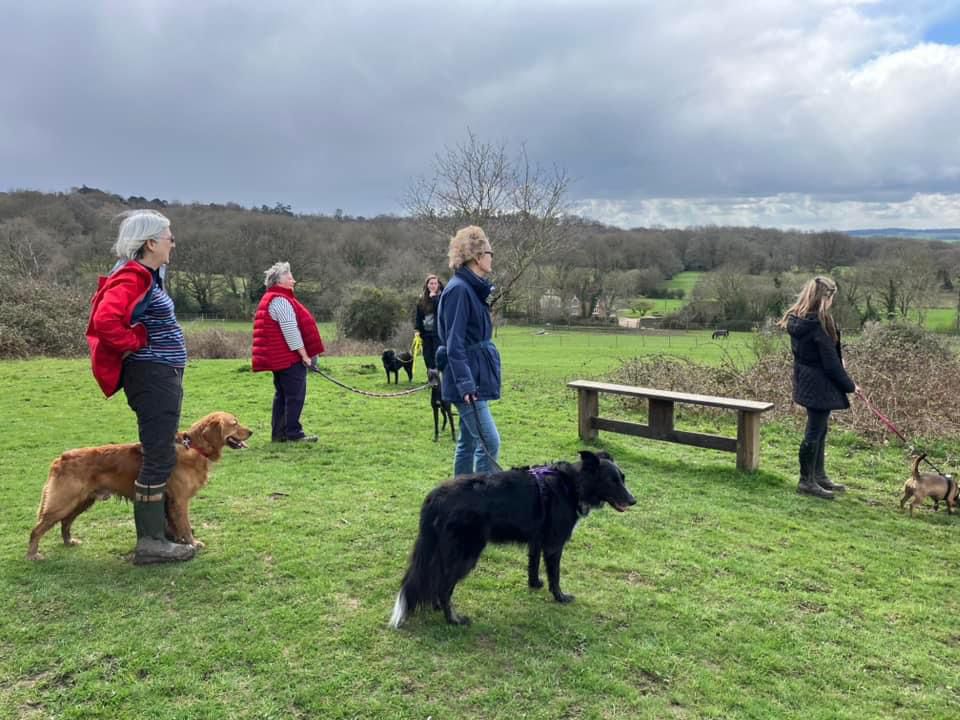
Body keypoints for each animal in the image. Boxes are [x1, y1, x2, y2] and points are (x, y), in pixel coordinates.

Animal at [390, 450, 636, 624]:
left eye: (623, 479)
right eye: (612, 481)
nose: (633, 501)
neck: (572, 484)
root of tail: (436, 496)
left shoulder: (536, 541)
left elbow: (533, 566)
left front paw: (535, 585)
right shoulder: (554, 545)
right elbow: (555, 576)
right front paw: (560, 597)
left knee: (435, 579)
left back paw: (437, 608)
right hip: (466, 554)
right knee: (443, 586)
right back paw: (453, 619)